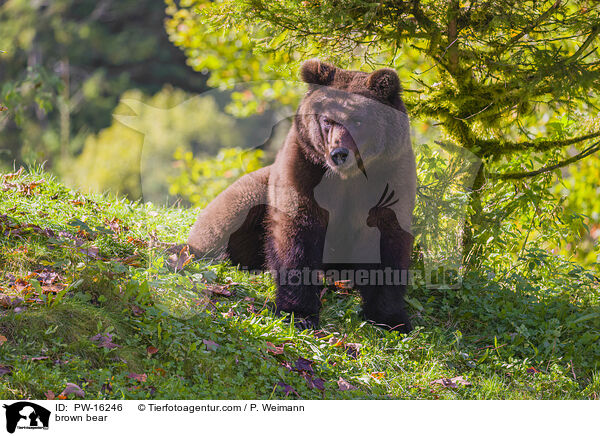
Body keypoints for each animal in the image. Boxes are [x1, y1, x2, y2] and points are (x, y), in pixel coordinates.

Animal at [190, 59, 414, 332]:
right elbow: (297, 231)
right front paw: (298, 312)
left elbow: (387, 240)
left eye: (359, 121)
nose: (339, 153)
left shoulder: (390, 176)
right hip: (256, 192)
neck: (347, 178)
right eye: (327, 120)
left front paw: (391, 317)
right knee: (227, 217)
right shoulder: (304, 169)